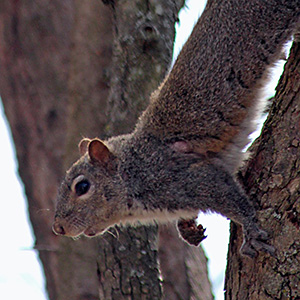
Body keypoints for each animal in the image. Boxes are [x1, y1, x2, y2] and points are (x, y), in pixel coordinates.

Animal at [51, 0, 300, 258]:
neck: (134, 167)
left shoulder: (186, 177)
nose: (58, 228)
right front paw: (188, 230)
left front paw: (250, 231)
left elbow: (232, 200)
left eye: (82, 186)